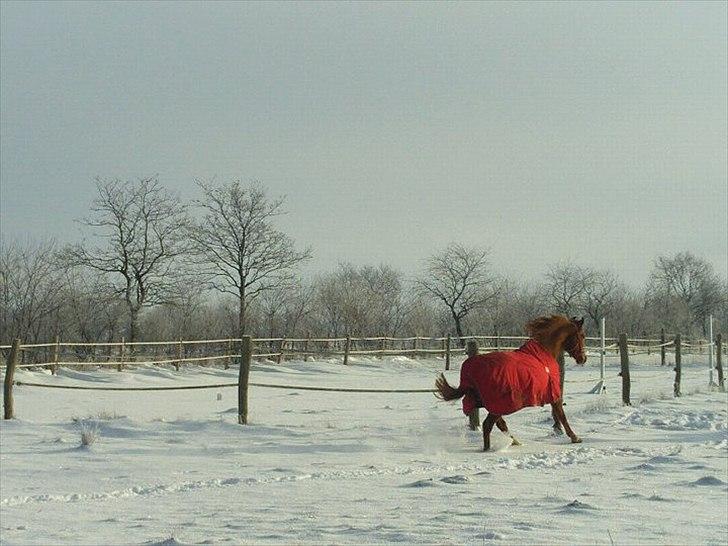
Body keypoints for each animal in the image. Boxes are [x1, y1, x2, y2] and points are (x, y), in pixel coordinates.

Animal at [436, 314, 588, 450]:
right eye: (582, 336)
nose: (583, 359)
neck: (544, 353)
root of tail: (470, 370)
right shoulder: (553, 394)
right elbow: (562, 415)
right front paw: (575, 437)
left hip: (492, 405)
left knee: (499, 424)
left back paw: (514, 442)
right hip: (498, 405)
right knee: (488, 425)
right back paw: (489, 449)